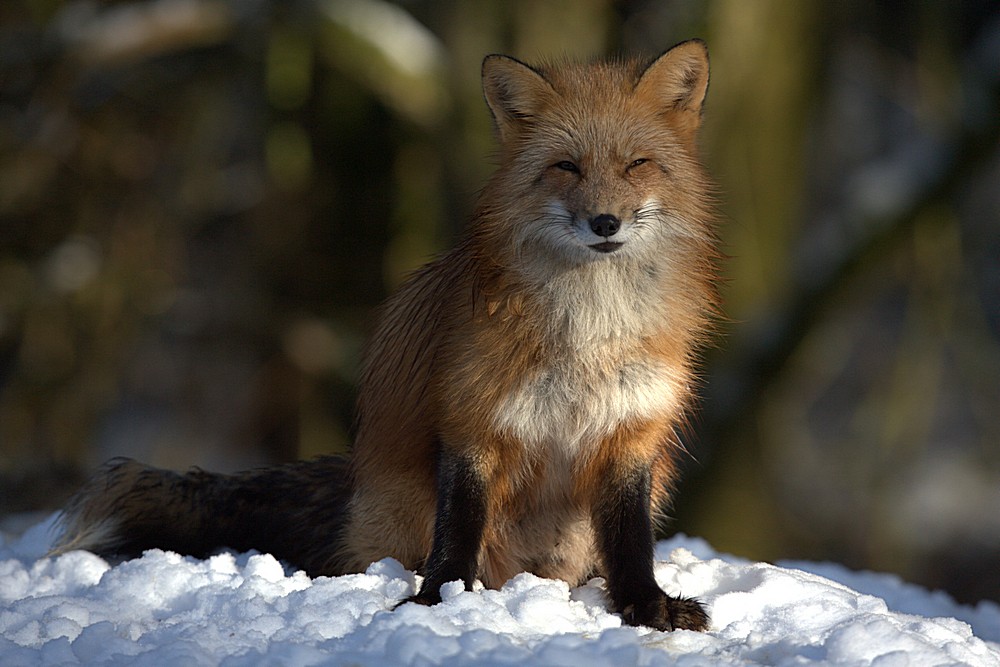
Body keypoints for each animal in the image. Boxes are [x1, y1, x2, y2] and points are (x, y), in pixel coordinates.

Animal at [52, 39, 720, 636]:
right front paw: (439, 602)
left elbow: (631, 543)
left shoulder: (630, 432)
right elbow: (458, 531)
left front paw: (647, 606)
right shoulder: (472, 421)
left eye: (636, 164)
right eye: (566, 166)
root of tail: (355, 486)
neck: (589, 329)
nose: (605, 222)